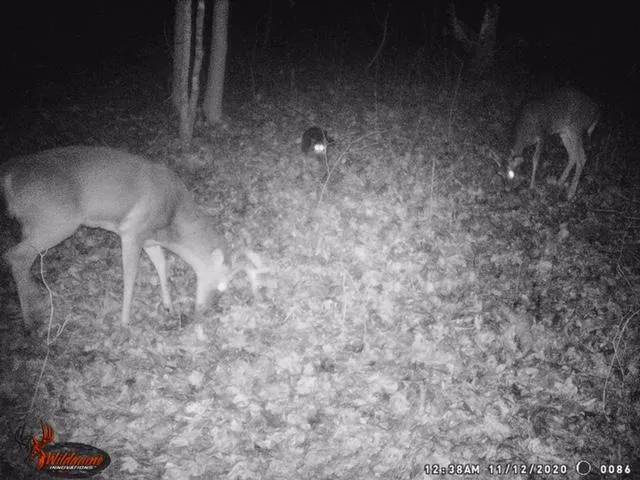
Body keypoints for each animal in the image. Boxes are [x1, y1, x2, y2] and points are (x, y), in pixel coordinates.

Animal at [1, 146, 231, 330]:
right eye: (221, 284)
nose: (206, 311)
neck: (172, 222)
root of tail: (8, 175)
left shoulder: (149, 239)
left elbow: (162, 265)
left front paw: (169, 306)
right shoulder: (132, 231)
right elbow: (130, 276)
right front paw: (124, 322)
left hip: (31, 224)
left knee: (22, 259)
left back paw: (37, 304)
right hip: (55, 220)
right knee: (15, 256)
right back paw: (29, 322)